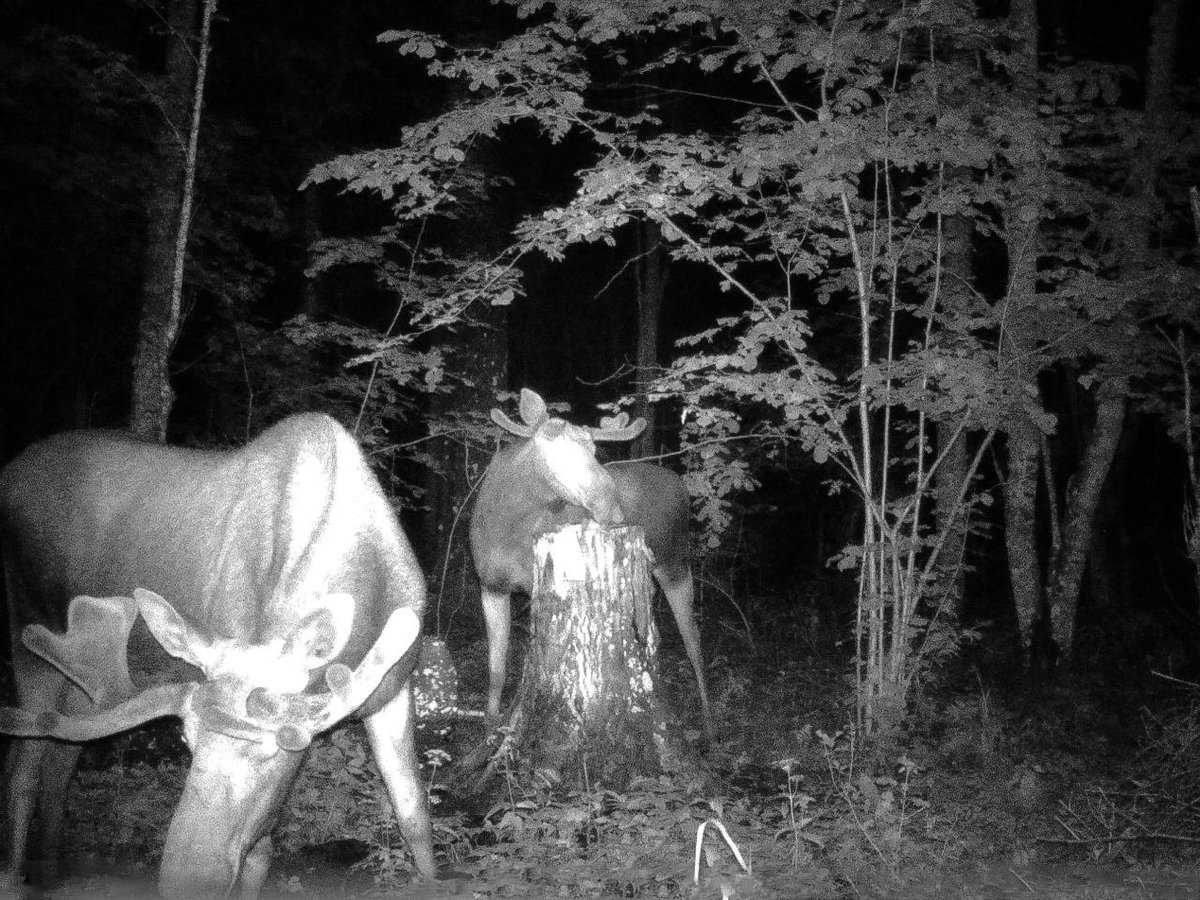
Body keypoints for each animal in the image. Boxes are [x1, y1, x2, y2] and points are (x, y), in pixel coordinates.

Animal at [0, 413, 435, 898]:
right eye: (186, 740)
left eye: (275, 751)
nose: (184, 878)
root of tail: (9, 473)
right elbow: (261, 852)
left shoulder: (395, 690)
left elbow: (415, 819)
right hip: (27, 626)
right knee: (23, 764)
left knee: (60, 758)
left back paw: (52, 873)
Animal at [468, 388, 712, 740]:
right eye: (553, 447)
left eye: (595, 449)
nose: (609, 504)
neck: (504, 527)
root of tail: (682, 485)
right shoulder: (490, 585)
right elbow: (496, 666)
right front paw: (490, 730)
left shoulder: (539, 584)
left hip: (676, 560)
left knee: (692, 638)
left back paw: (709, 721)